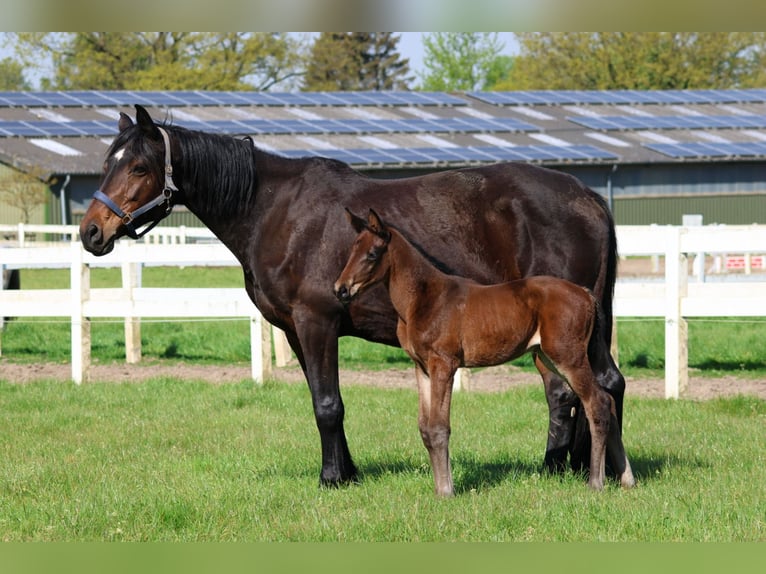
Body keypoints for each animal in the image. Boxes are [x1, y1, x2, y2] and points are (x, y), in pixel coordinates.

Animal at [336, 209, 636, 498]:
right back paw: (627, 479)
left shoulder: (443, 365)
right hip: (551, 357)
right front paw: (438, 488)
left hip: (569, 357)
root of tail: (585, 294)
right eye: (351, 251)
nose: (341, 289)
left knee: (597, 402)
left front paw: (446, 491)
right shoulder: (421, 368)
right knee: (608, 400)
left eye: (372, 254)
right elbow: (424, 427)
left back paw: (596, 483)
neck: (423, 300)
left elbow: (438, 427)